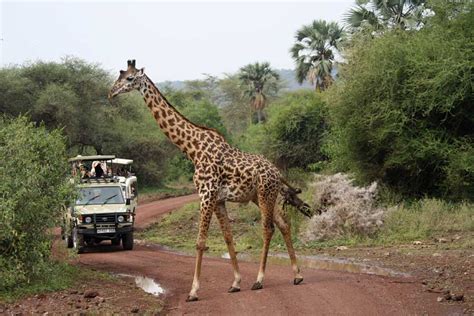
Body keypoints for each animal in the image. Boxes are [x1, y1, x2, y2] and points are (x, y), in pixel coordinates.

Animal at [109, 59, 312, 304]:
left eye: (129, 78)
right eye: (120, 76)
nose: (111, 93)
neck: (192, 149)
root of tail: (278, 173)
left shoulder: (206, 194)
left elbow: (200, 242)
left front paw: (193, 291)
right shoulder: (218, 199)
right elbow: (228, 237)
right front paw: (235, 283)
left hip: (265, 194)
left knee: (268, 228)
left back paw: (259, 280)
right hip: (260, 196)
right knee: (283, 223)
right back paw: (298, 275)